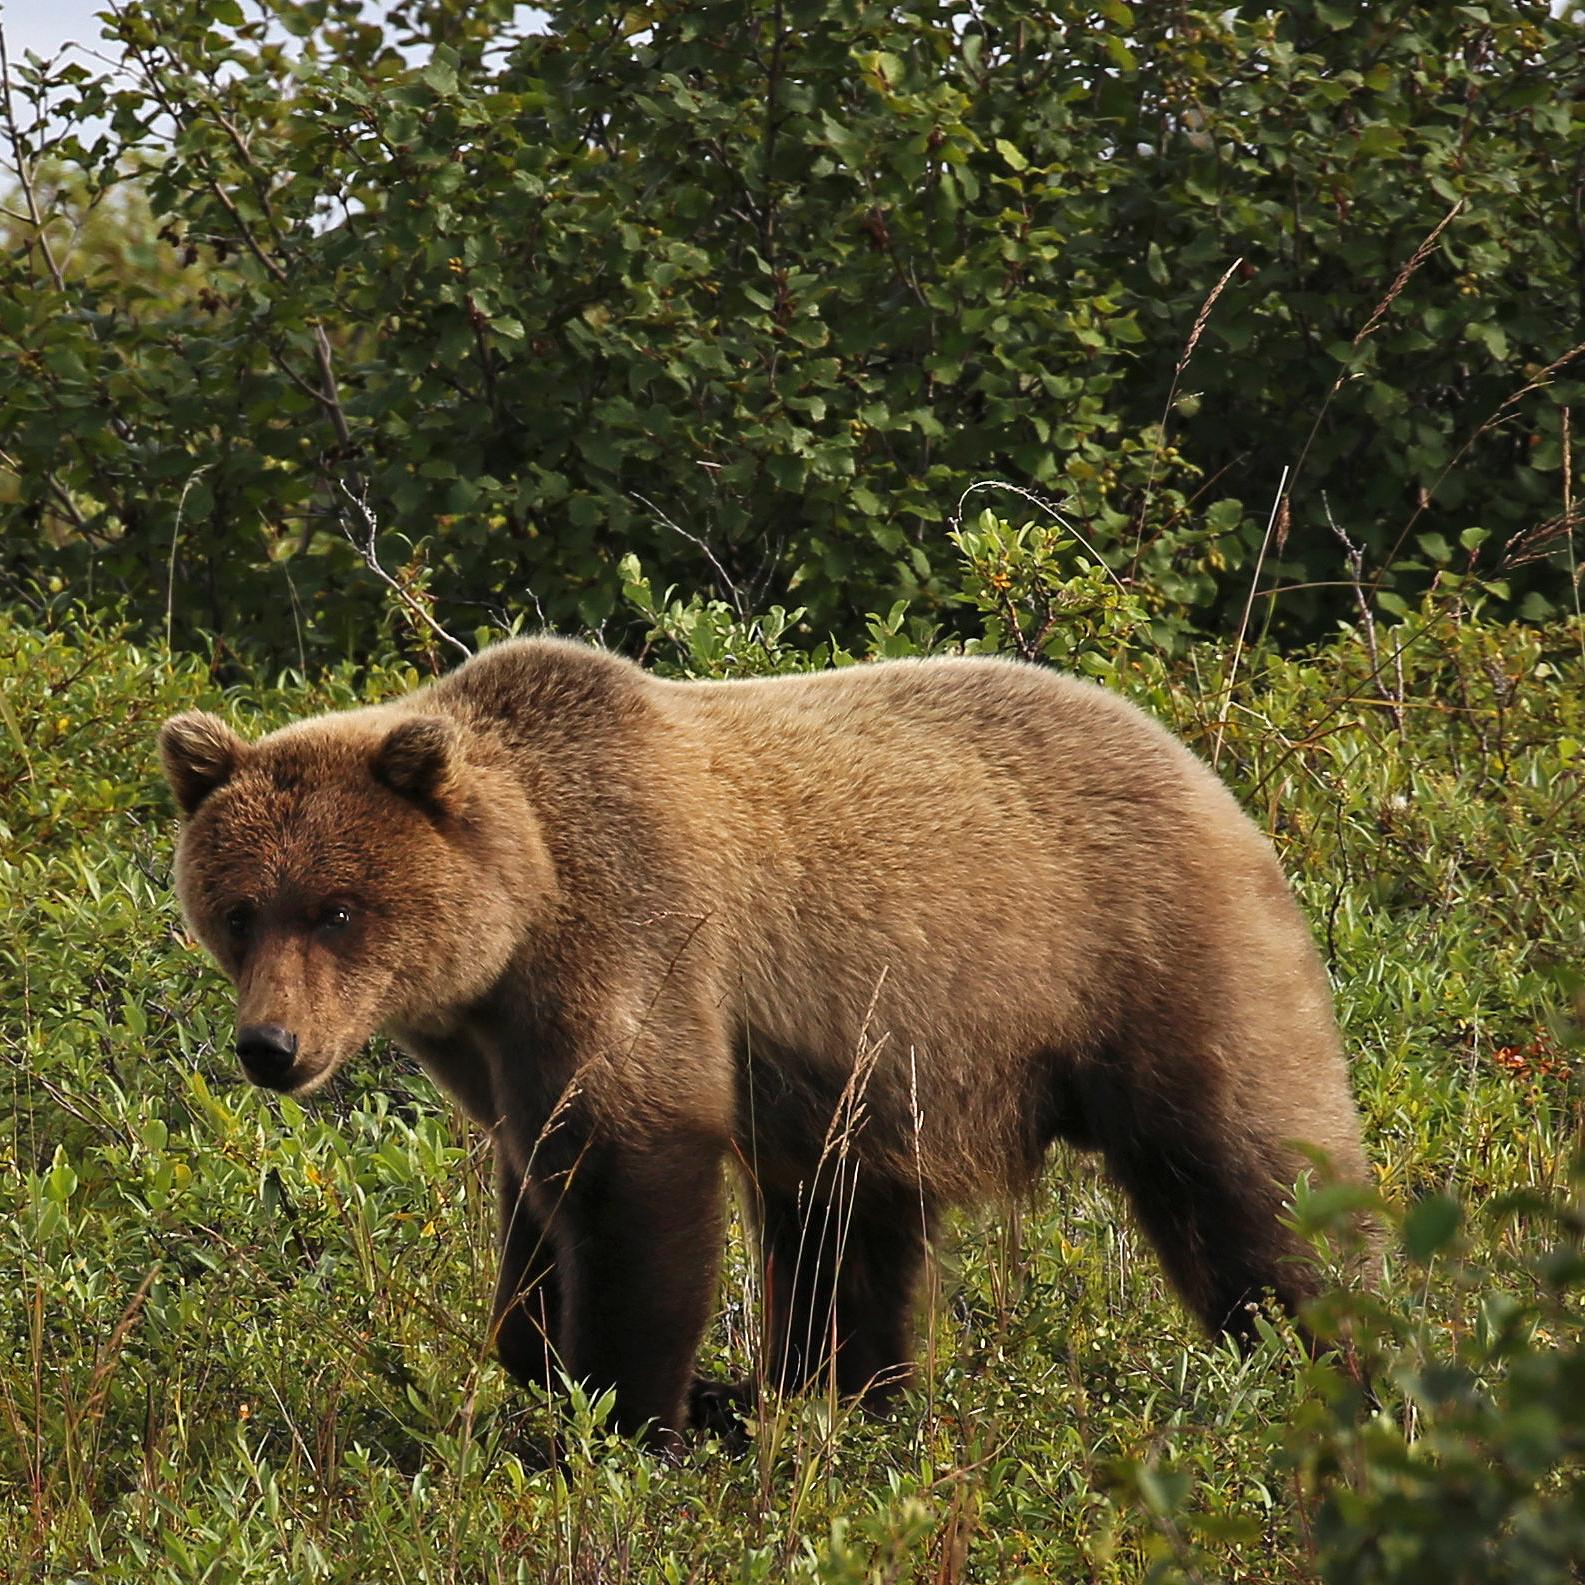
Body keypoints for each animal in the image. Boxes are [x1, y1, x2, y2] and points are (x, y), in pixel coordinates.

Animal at [159, 637, 1368, 1447]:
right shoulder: (501, 1049)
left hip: (1143, 960)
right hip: (874, 1076)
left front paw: (638, 1411)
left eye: (337, 908)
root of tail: (1209, 772)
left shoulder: (636, 944)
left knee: (1248, 1179)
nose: (270, 1045)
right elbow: (535, 1208)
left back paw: (1327, 1365)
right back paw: (837, 1396)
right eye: (239, 909)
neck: (518, 920)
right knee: (848, 1236)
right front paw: (579, 1362)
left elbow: (635, 1181)